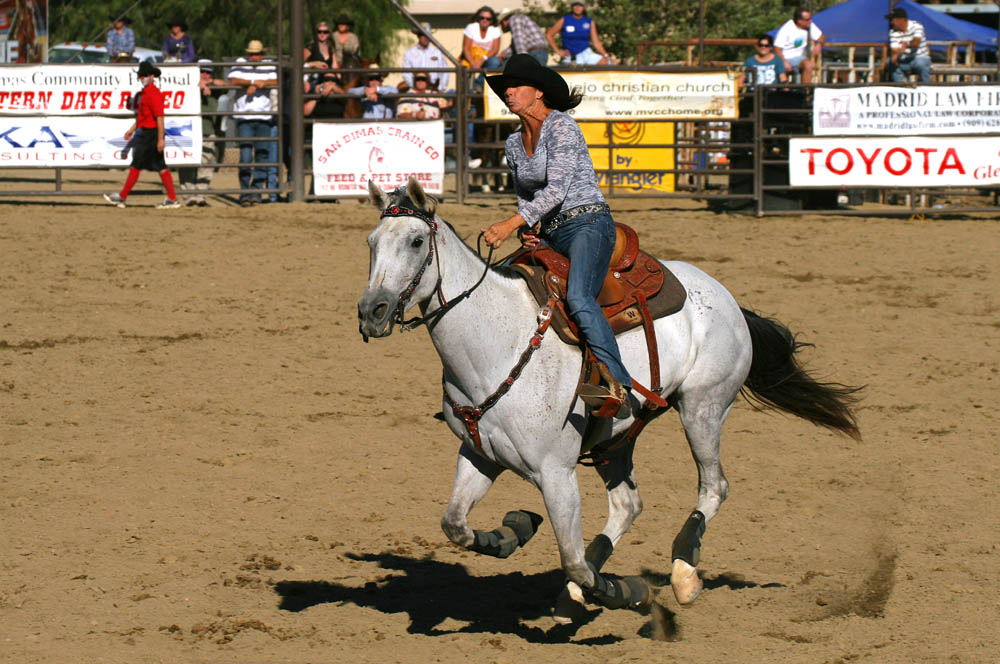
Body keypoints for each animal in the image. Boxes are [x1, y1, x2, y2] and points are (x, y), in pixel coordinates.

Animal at [360, 178, 860, 624]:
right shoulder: (480, 455)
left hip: (704, 408)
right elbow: (456, 525)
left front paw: (624, 590)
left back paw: (681, 574)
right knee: (627, 504)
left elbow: (572, 558)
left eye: (417, 241)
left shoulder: (556, 474)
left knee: (713, 486)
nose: (372, 312)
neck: (498, 341)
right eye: (371, 242)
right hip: (615, 437)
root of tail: (726, 297)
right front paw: (515, 529)